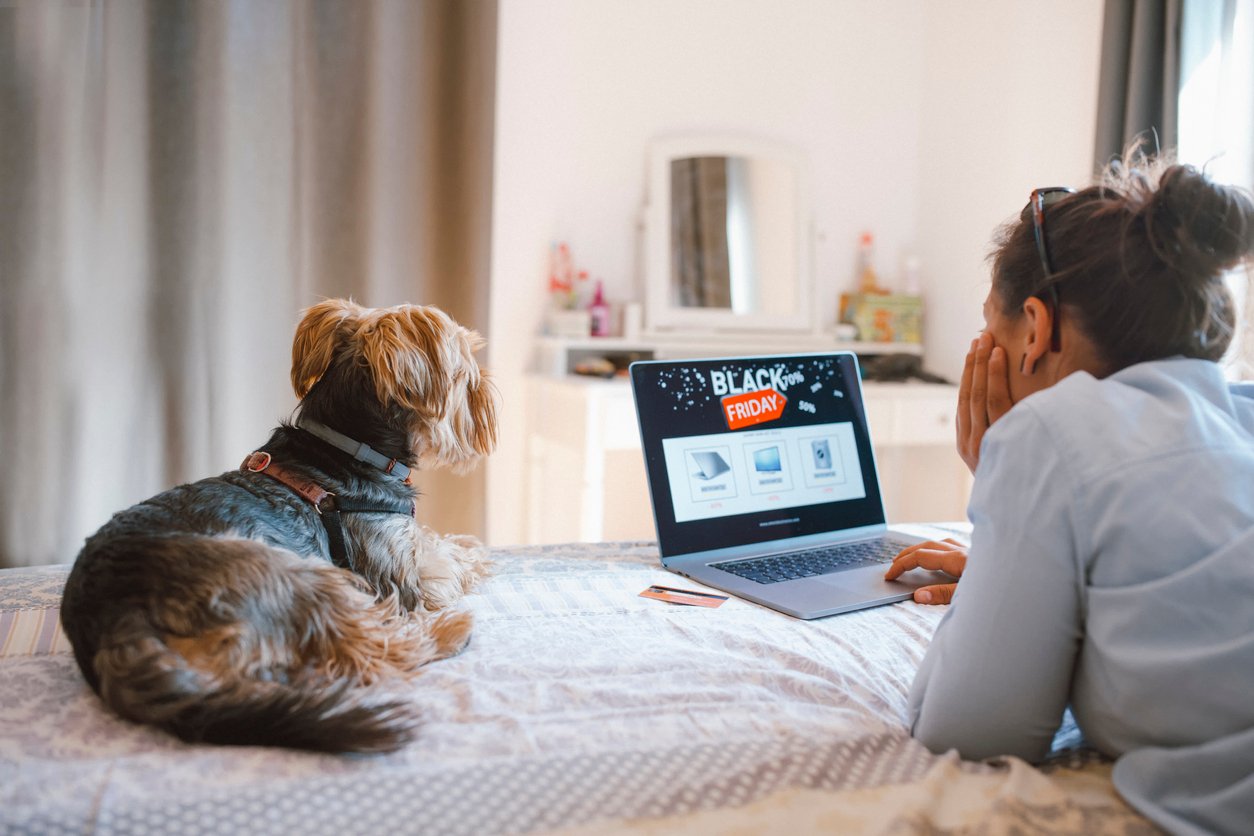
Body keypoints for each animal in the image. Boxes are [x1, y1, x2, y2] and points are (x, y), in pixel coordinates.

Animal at [58, 302, 499, 757]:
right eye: (465, 370)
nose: (486, 391)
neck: (349, 447)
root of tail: (110, 620)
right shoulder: (402, 568)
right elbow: (447, 562)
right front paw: (475, 553)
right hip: (286, 573)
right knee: (371, 651)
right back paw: (449, 632)